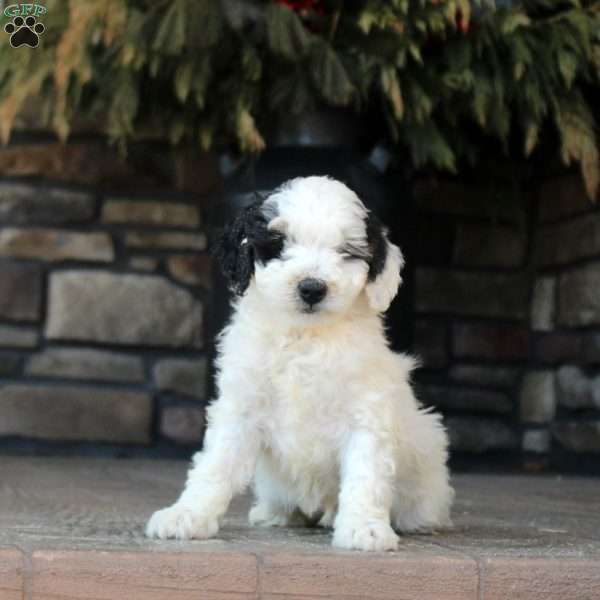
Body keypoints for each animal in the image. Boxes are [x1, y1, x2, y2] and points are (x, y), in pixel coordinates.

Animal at [148, 176, 452, 552]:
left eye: (346, 252)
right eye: (279, 244)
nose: (312, 288)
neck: (305, 336)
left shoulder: (366, 410)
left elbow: (366, 472)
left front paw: (364, 528)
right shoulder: (241, 405)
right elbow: (214, 465)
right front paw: (186, 515)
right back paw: (274, 513)